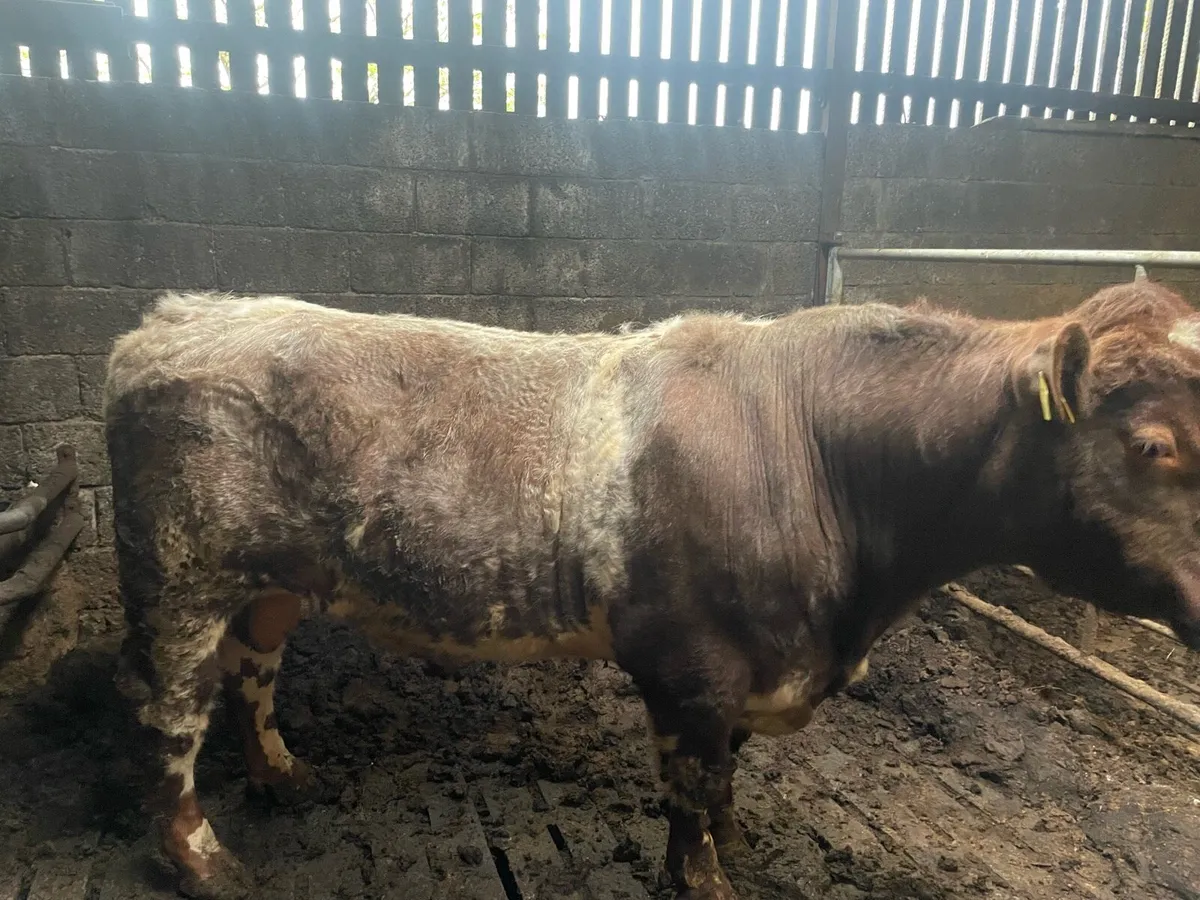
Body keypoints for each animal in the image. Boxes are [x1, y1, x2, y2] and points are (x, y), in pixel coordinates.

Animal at [103, 282, 1200, 900]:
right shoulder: (690, 665)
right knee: (167, 716)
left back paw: (283, 775)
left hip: (272, 582)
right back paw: (202, 861)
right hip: (180, 577)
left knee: (253, 673)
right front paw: (705, 877)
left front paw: (739, 843)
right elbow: (691, 784)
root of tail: (178, 319)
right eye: (1154, 445)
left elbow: (728, 779)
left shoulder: (752, 666)